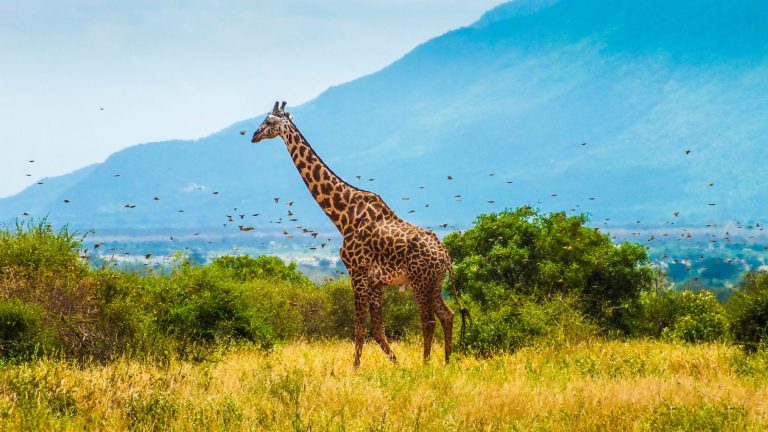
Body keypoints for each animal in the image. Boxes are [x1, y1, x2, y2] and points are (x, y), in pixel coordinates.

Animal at [254, 102, 468, 368]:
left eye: (269, 121)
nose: (254, 135)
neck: (343, 215)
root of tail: (445, 256)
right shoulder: (375, 281)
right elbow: (377, 328)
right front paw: (396, 365)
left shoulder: (356, 272)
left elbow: (359, 326)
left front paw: (355, 368)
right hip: (435, 281)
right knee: (447, 315)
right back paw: (447, 363)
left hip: (420, 280)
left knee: (428, 321)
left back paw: (426, 364)